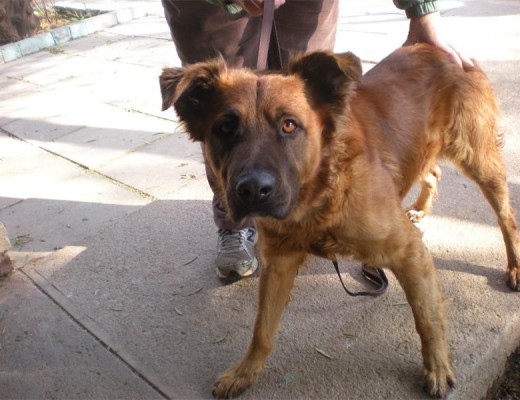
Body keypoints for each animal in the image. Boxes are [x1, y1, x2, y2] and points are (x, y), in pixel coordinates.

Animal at [160, 44, 520, 398]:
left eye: (289, 125)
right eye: (224, 128)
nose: (252, 190)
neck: (320, 195)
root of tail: (435, 47)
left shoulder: (408, 252)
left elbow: (426, 316)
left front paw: (437, 367)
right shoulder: (280, 263)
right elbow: (262, 330)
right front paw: (244, 373)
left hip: (479, 159)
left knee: (506, 216)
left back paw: (514, 265)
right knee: (432, 171)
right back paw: (419, 207)